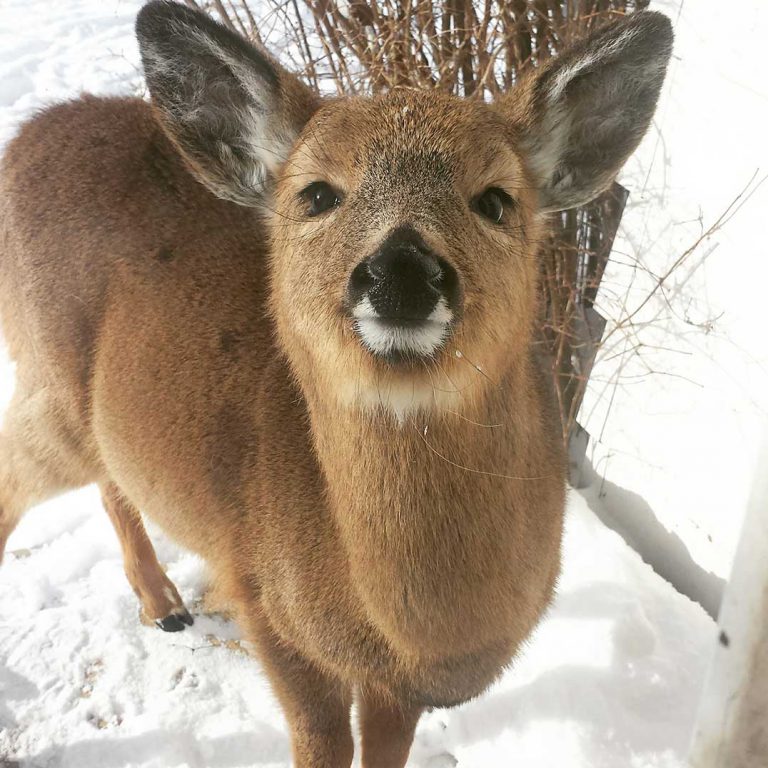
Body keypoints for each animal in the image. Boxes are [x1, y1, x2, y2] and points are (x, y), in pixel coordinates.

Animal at [0, 2, 672, 765]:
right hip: (44, 379)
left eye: (497, 201)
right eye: (317, 194)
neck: (410, 634)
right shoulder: (272, 613)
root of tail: (28, 134)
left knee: (113, 480)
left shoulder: (398, 688)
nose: (402, 268)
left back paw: (164, 605)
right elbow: (320, 740)